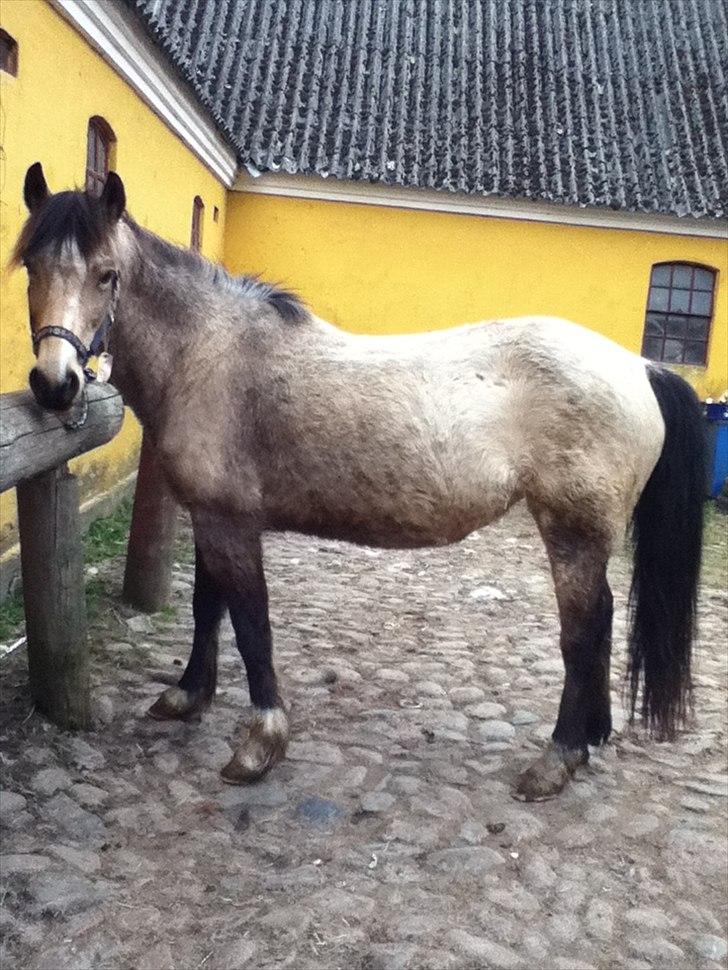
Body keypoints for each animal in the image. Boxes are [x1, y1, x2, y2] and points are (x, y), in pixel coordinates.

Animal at [11, 164, 704, 800]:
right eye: (31, 268)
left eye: (106, 274)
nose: (55, 383)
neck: (211, 354)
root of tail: (640, 367)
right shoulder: (210, 515)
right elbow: (210, 607)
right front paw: (187, 697)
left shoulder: (232, 525)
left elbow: (251, 623)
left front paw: (260, 744)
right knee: (604, 620)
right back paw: (592, 735)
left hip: (573, 531)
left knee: (583, 629)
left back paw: (558, 757)